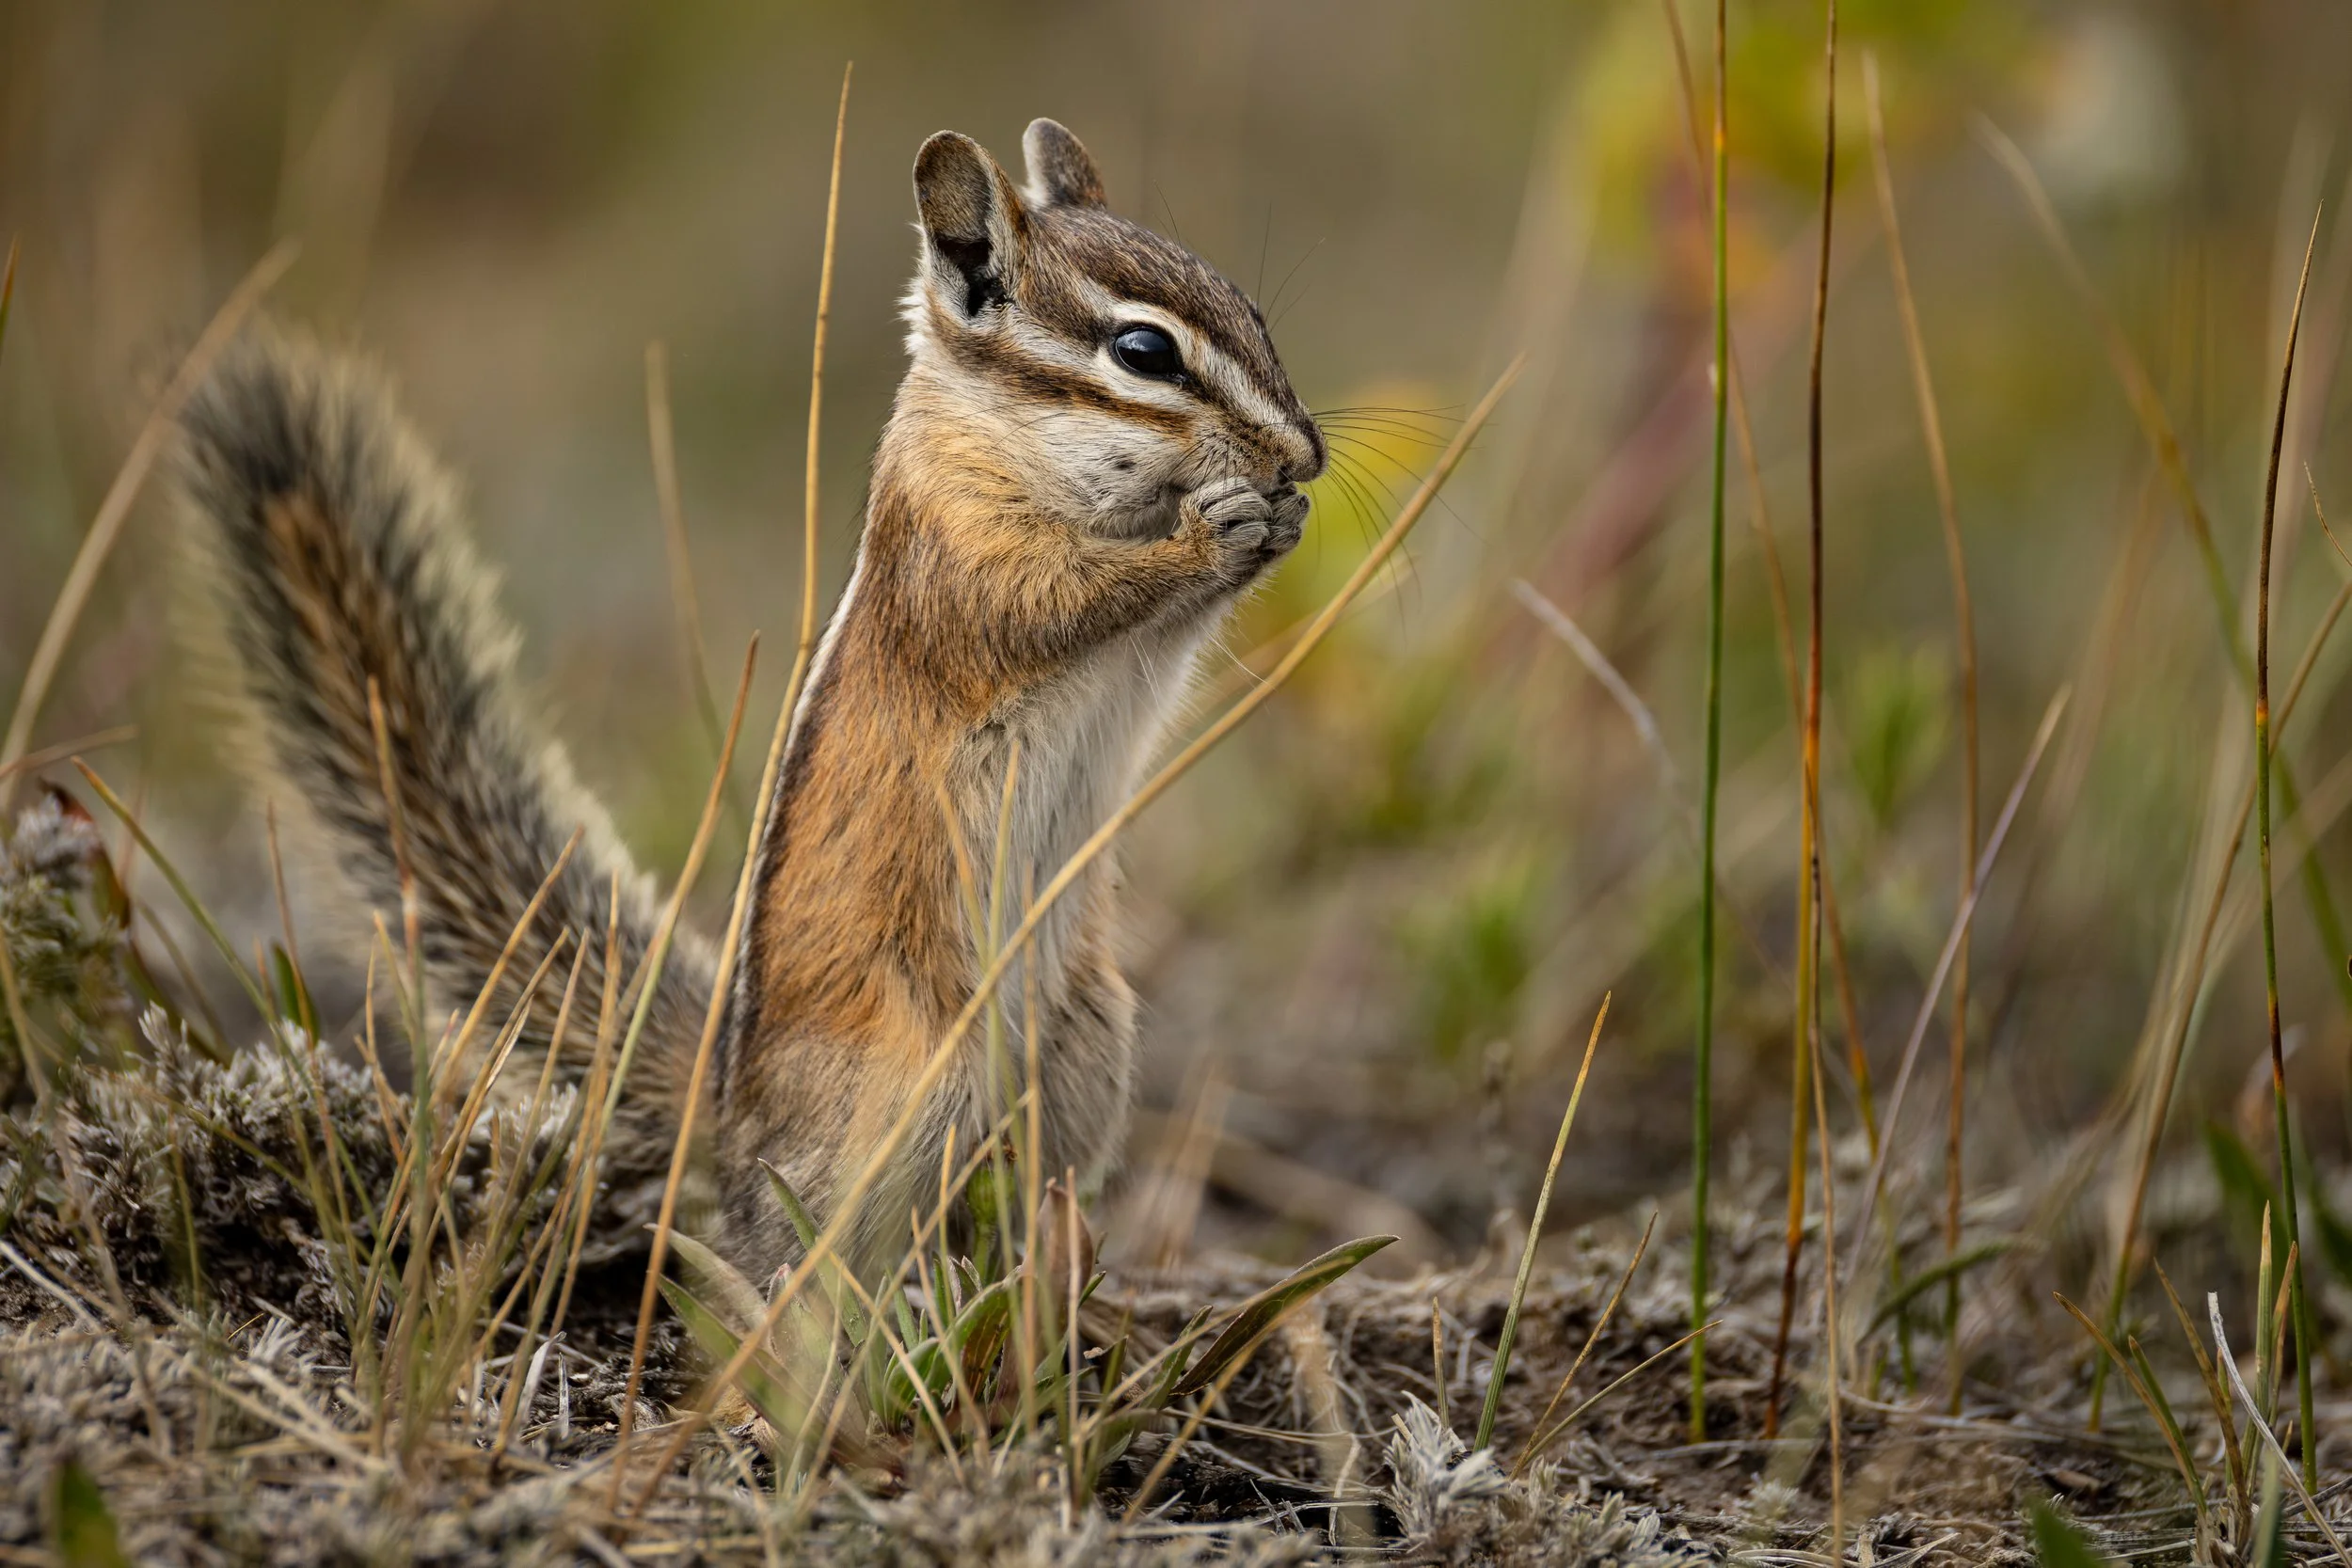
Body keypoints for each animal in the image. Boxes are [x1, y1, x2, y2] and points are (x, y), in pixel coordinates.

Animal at [172, 118, 1326, 1278]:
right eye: (1144, 353)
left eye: (1253, 310)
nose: (1306, 453)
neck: (1003, 437)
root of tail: (720, 1115)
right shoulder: (958, 554)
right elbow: (1057, 604)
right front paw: (1214, 530)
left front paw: (1280, 520)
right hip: (917, 1084)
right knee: (804, 1252)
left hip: (1088, 1045)